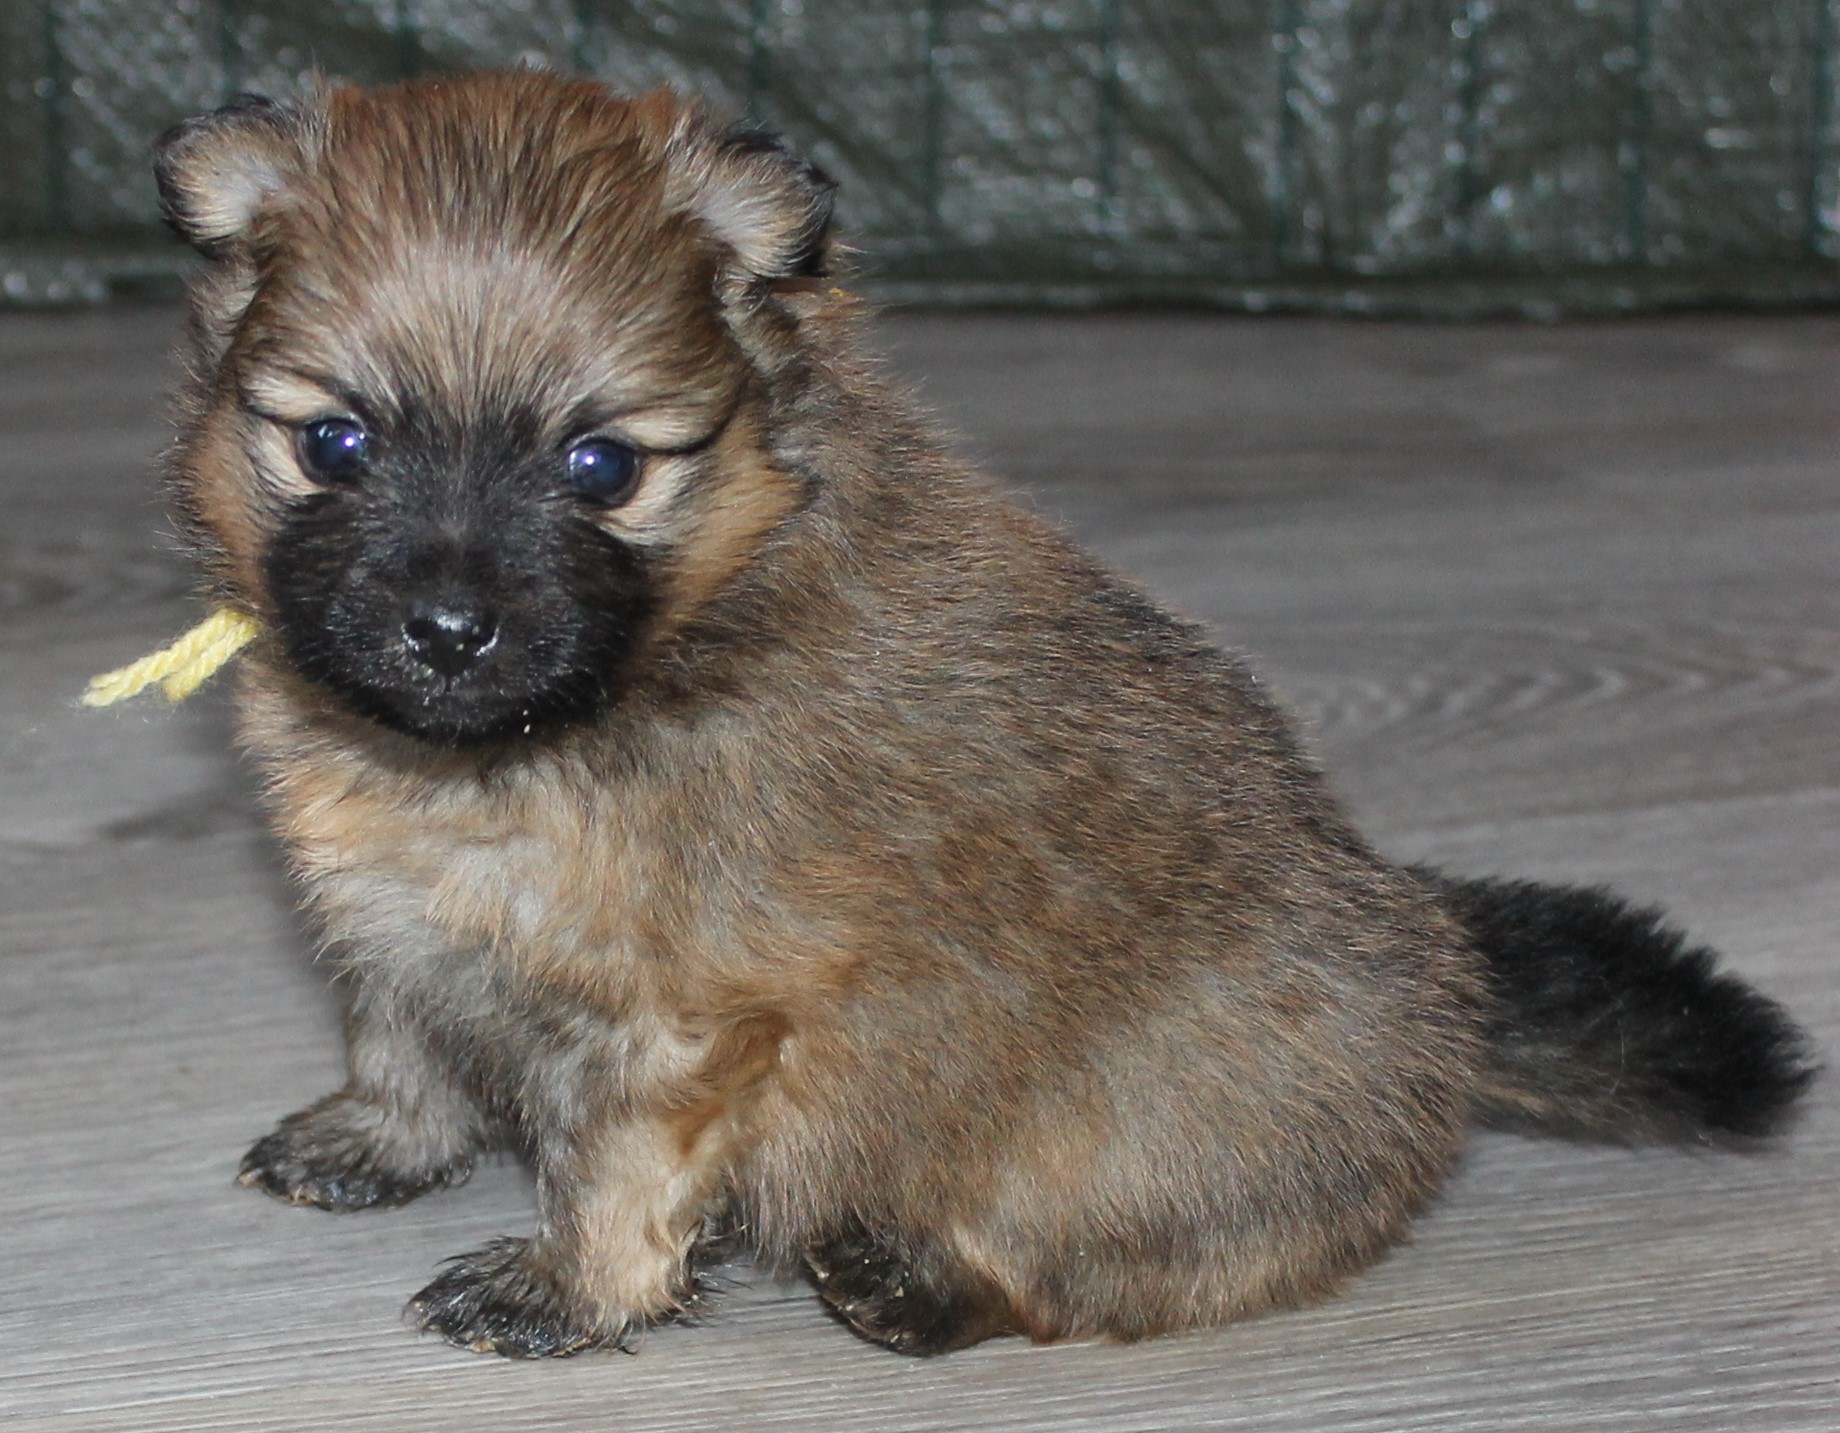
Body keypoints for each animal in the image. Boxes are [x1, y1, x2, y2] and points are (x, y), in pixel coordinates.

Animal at [147, 75, 1810, 1353]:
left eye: (601, 468)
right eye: (338, 444)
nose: (448, 628)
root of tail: (1453, 996)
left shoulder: (683, 1021)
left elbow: (616, 1168)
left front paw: (568, 1291)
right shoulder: (395, 918)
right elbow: (405, 1036)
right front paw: (375, 1140)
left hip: (1124, 1140)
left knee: (1121, 1271)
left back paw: (914, 1282)